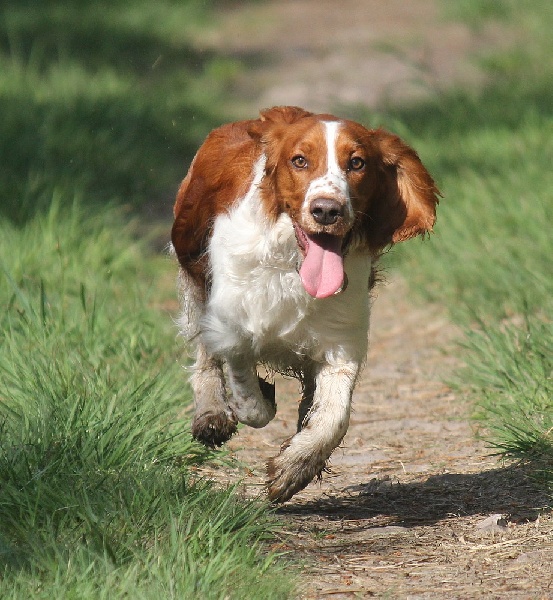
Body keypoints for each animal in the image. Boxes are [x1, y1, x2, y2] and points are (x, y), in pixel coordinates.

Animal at [170, 106, 438, 502]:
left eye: (357, 162)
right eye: (299, 161)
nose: (327, 210)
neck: (294, 266)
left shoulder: (341, 341)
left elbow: (333, 416)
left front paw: (294, 467)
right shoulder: (232, 323)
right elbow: (249, 396)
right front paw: (258, 401)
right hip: (192, 269)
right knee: (204, 354)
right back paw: (212, 414)